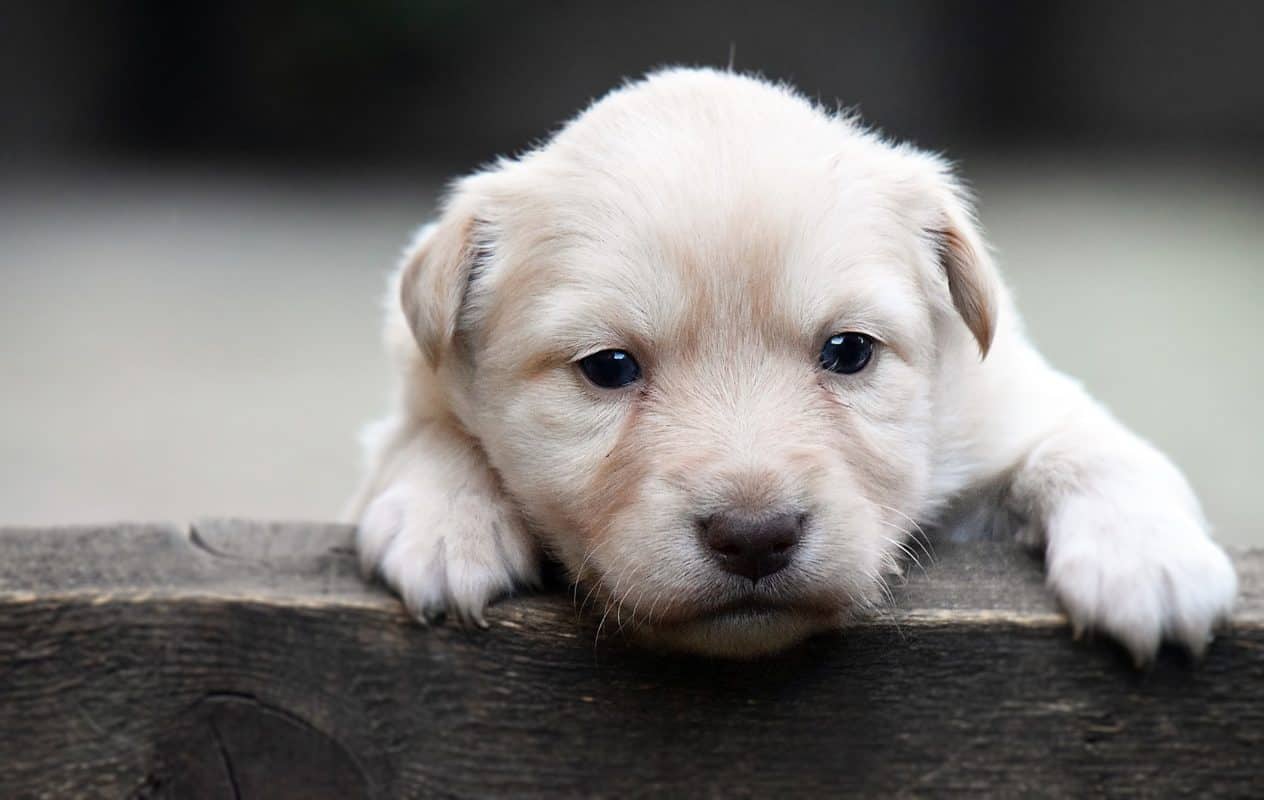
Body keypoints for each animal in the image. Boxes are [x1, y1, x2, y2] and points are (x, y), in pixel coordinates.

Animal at [346, 66, 1233, 657]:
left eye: (849, 352)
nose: (755, 538)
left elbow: (1093, 448)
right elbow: (426, 431)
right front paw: (446, 520)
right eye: (608, 368)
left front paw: (1148, 560)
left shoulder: (1012, 404)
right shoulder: (415, 387)